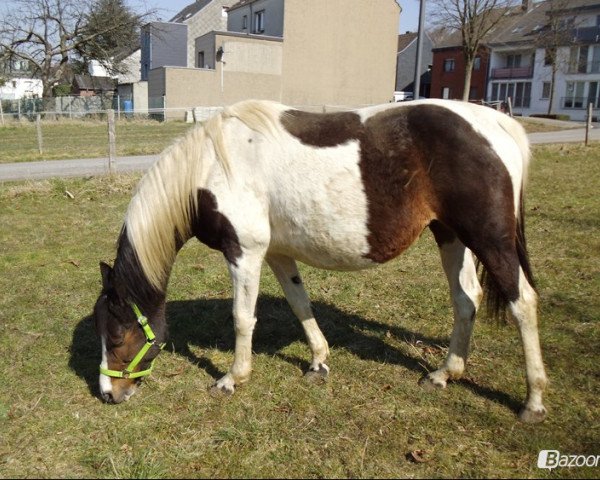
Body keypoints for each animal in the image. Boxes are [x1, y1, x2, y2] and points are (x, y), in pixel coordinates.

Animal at [91, 99, 548, 422]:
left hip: (489, 239)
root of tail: (501, 125)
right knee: (466, 299)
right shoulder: (277, 253)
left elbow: (242, 318)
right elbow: (300, 304)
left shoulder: (245, 252)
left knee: (522, 301)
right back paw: (444, 373)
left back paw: (533, 401)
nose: (108, 394)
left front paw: (232, 378)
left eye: (115, 335)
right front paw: (318, 361)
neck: (211, 166)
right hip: (452, 236)